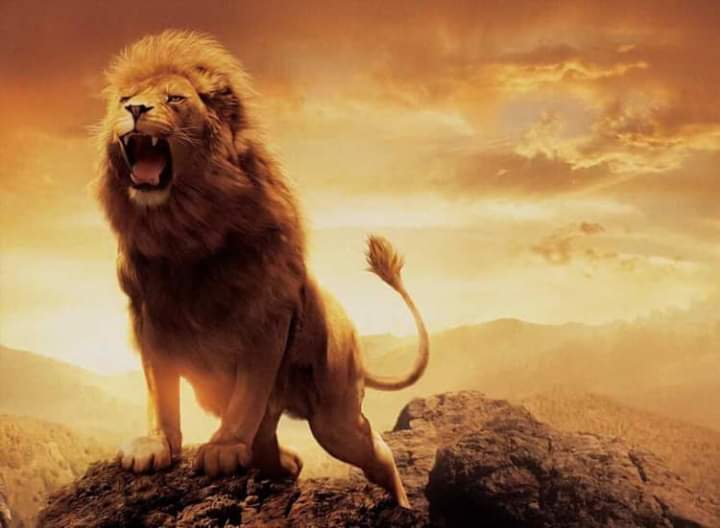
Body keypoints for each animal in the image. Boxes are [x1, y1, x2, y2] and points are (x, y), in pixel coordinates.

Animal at [97, 30, 429, 508]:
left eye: (174, 98)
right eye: (125, 99)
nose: (136, 111)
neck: (183, 230)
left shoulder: (266, 317)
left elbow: (249, 393)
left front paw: (223, 448)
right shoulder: (149, 317)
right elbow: (160, 390)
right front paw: (155, 445)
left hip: (335, 416)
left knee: (374, 450)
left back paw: (401, 503)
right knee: (269, 440)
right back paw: (287, 462)